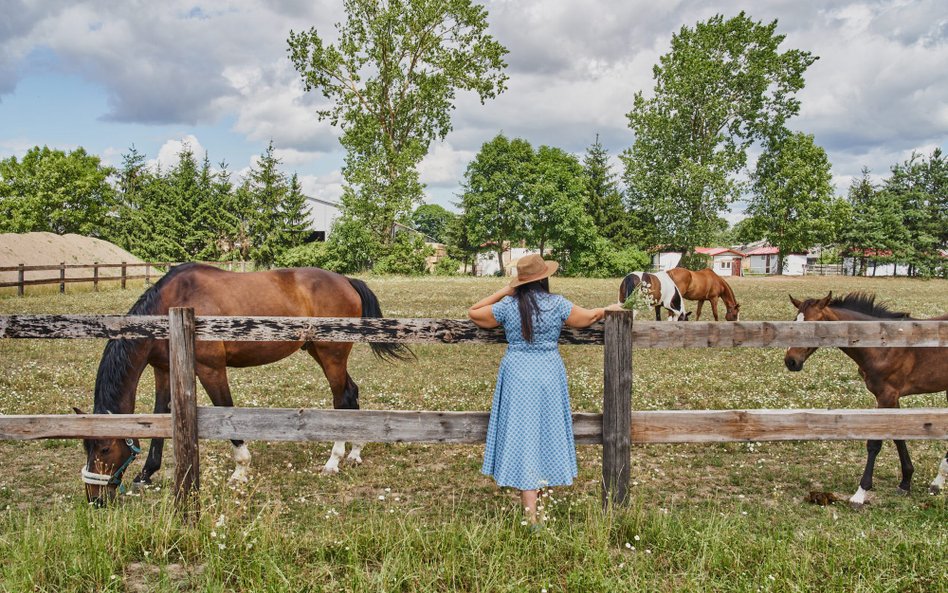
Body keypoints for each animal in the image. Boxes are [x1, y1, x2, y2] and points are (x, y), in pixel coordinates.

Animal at [78, 264, 412, 504]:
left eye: (105, 449)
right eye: (86, 446)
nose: (95, 499)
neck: (170, 305)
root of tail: (346, 281)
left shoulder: (211, 369)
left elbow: (227, 412)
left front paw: (241, 469)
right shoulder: (165, 369)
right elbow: (159, 416)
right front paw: (147, 472)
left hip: (332, 354)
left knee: (342, 398)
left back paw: (334, 460)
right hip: (320, 352)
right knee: (351, 393)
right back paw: (355, 452)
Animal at [784, 290, 948, 506]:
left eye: (814, 325)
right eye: (794, 321)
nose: (791, 361)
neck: (882, 345)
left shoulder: (886, 396)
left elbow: (874, 443)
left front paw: (860, 494)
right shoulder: (891, 398)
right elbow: (898, 436)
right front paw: (905, 482)